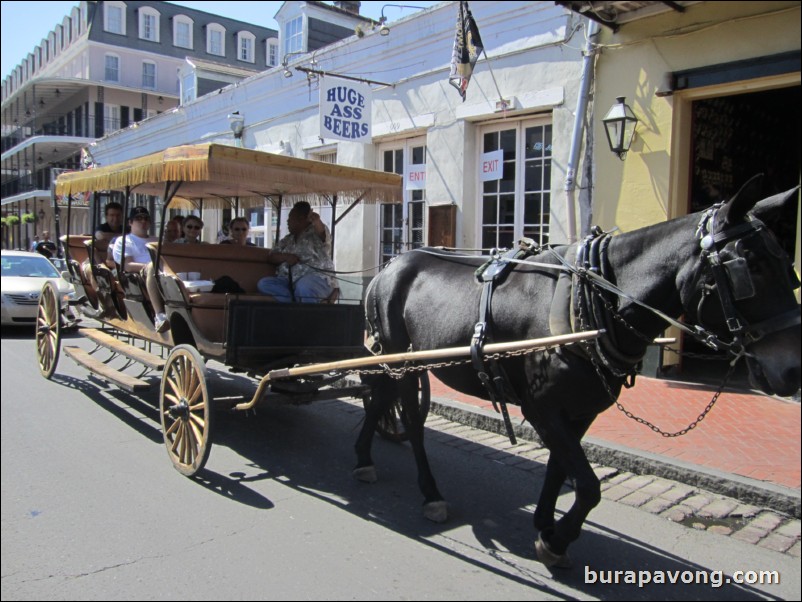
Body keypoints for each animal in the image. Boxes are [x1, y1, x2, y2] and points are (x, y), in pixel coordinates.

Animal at [356, 176, 800, 564]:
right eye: (749, 267)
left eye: (787, 265)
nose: (792, 370)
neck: (590, 301)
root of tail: (388, 267)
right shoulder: (542, 408)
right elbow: (587, 485)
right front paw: (557, 540)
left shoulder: (581, 410)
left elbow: (560, 469)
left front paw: (546, 524)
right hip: (401, 361)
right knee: (411, 420)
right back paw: (429, 492)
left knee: (381, 400)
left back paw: (364, 458)